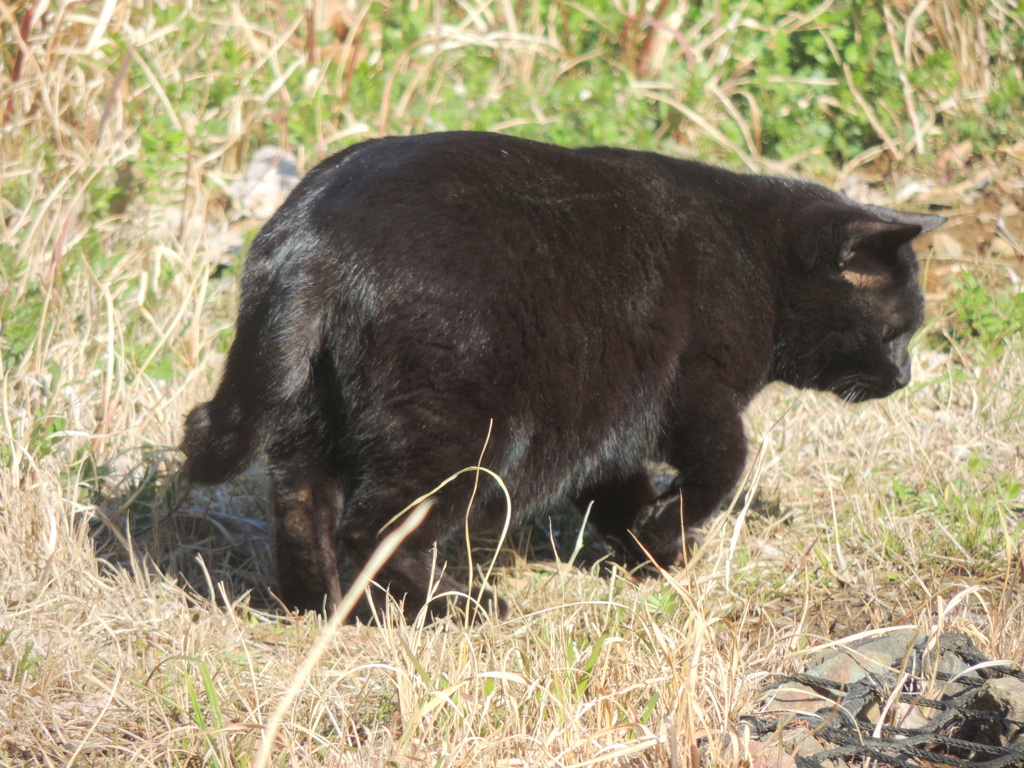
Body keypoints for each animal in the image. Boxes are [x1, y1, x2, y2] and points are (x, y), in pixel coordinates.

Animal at [182, 129, 942, 618]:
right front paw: (666, 537)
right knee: (376, 525)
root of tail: (316, 238)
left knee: (302, 506)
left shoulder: (612, 416)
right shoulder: (694, 394)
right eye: (897, 332)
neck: (760, 262)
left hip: (307, 414)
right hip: (460, 433)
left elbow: (619, 489)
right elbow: (724, 467)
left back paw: (318, 606)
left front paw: (649, 552)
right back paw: (461, 604)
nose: (904, 377)